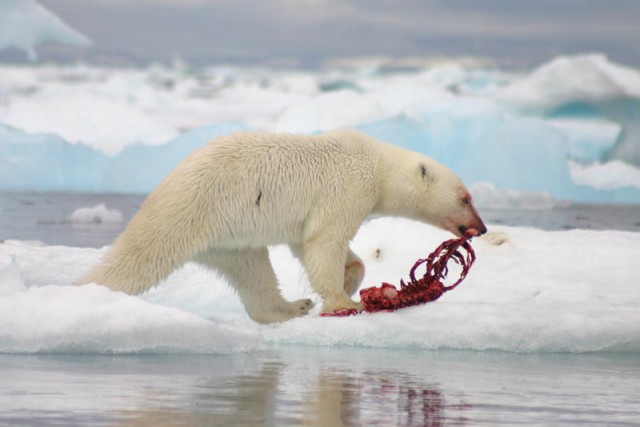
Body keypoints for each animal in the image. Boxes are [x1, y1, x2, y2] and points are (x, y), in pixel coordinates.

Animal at [76, 130, 484, 324]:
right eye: (465, 197)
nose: (479, 228)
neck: (377, 165)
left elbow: (307, 244)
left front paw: (349, 278)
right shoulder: (346, 188)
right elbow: (324, 240)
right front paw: (344, 301)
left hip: (229, 237)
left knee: (251, 270)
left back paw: (293, 306)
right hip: (193, 209)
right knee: (139, 257)